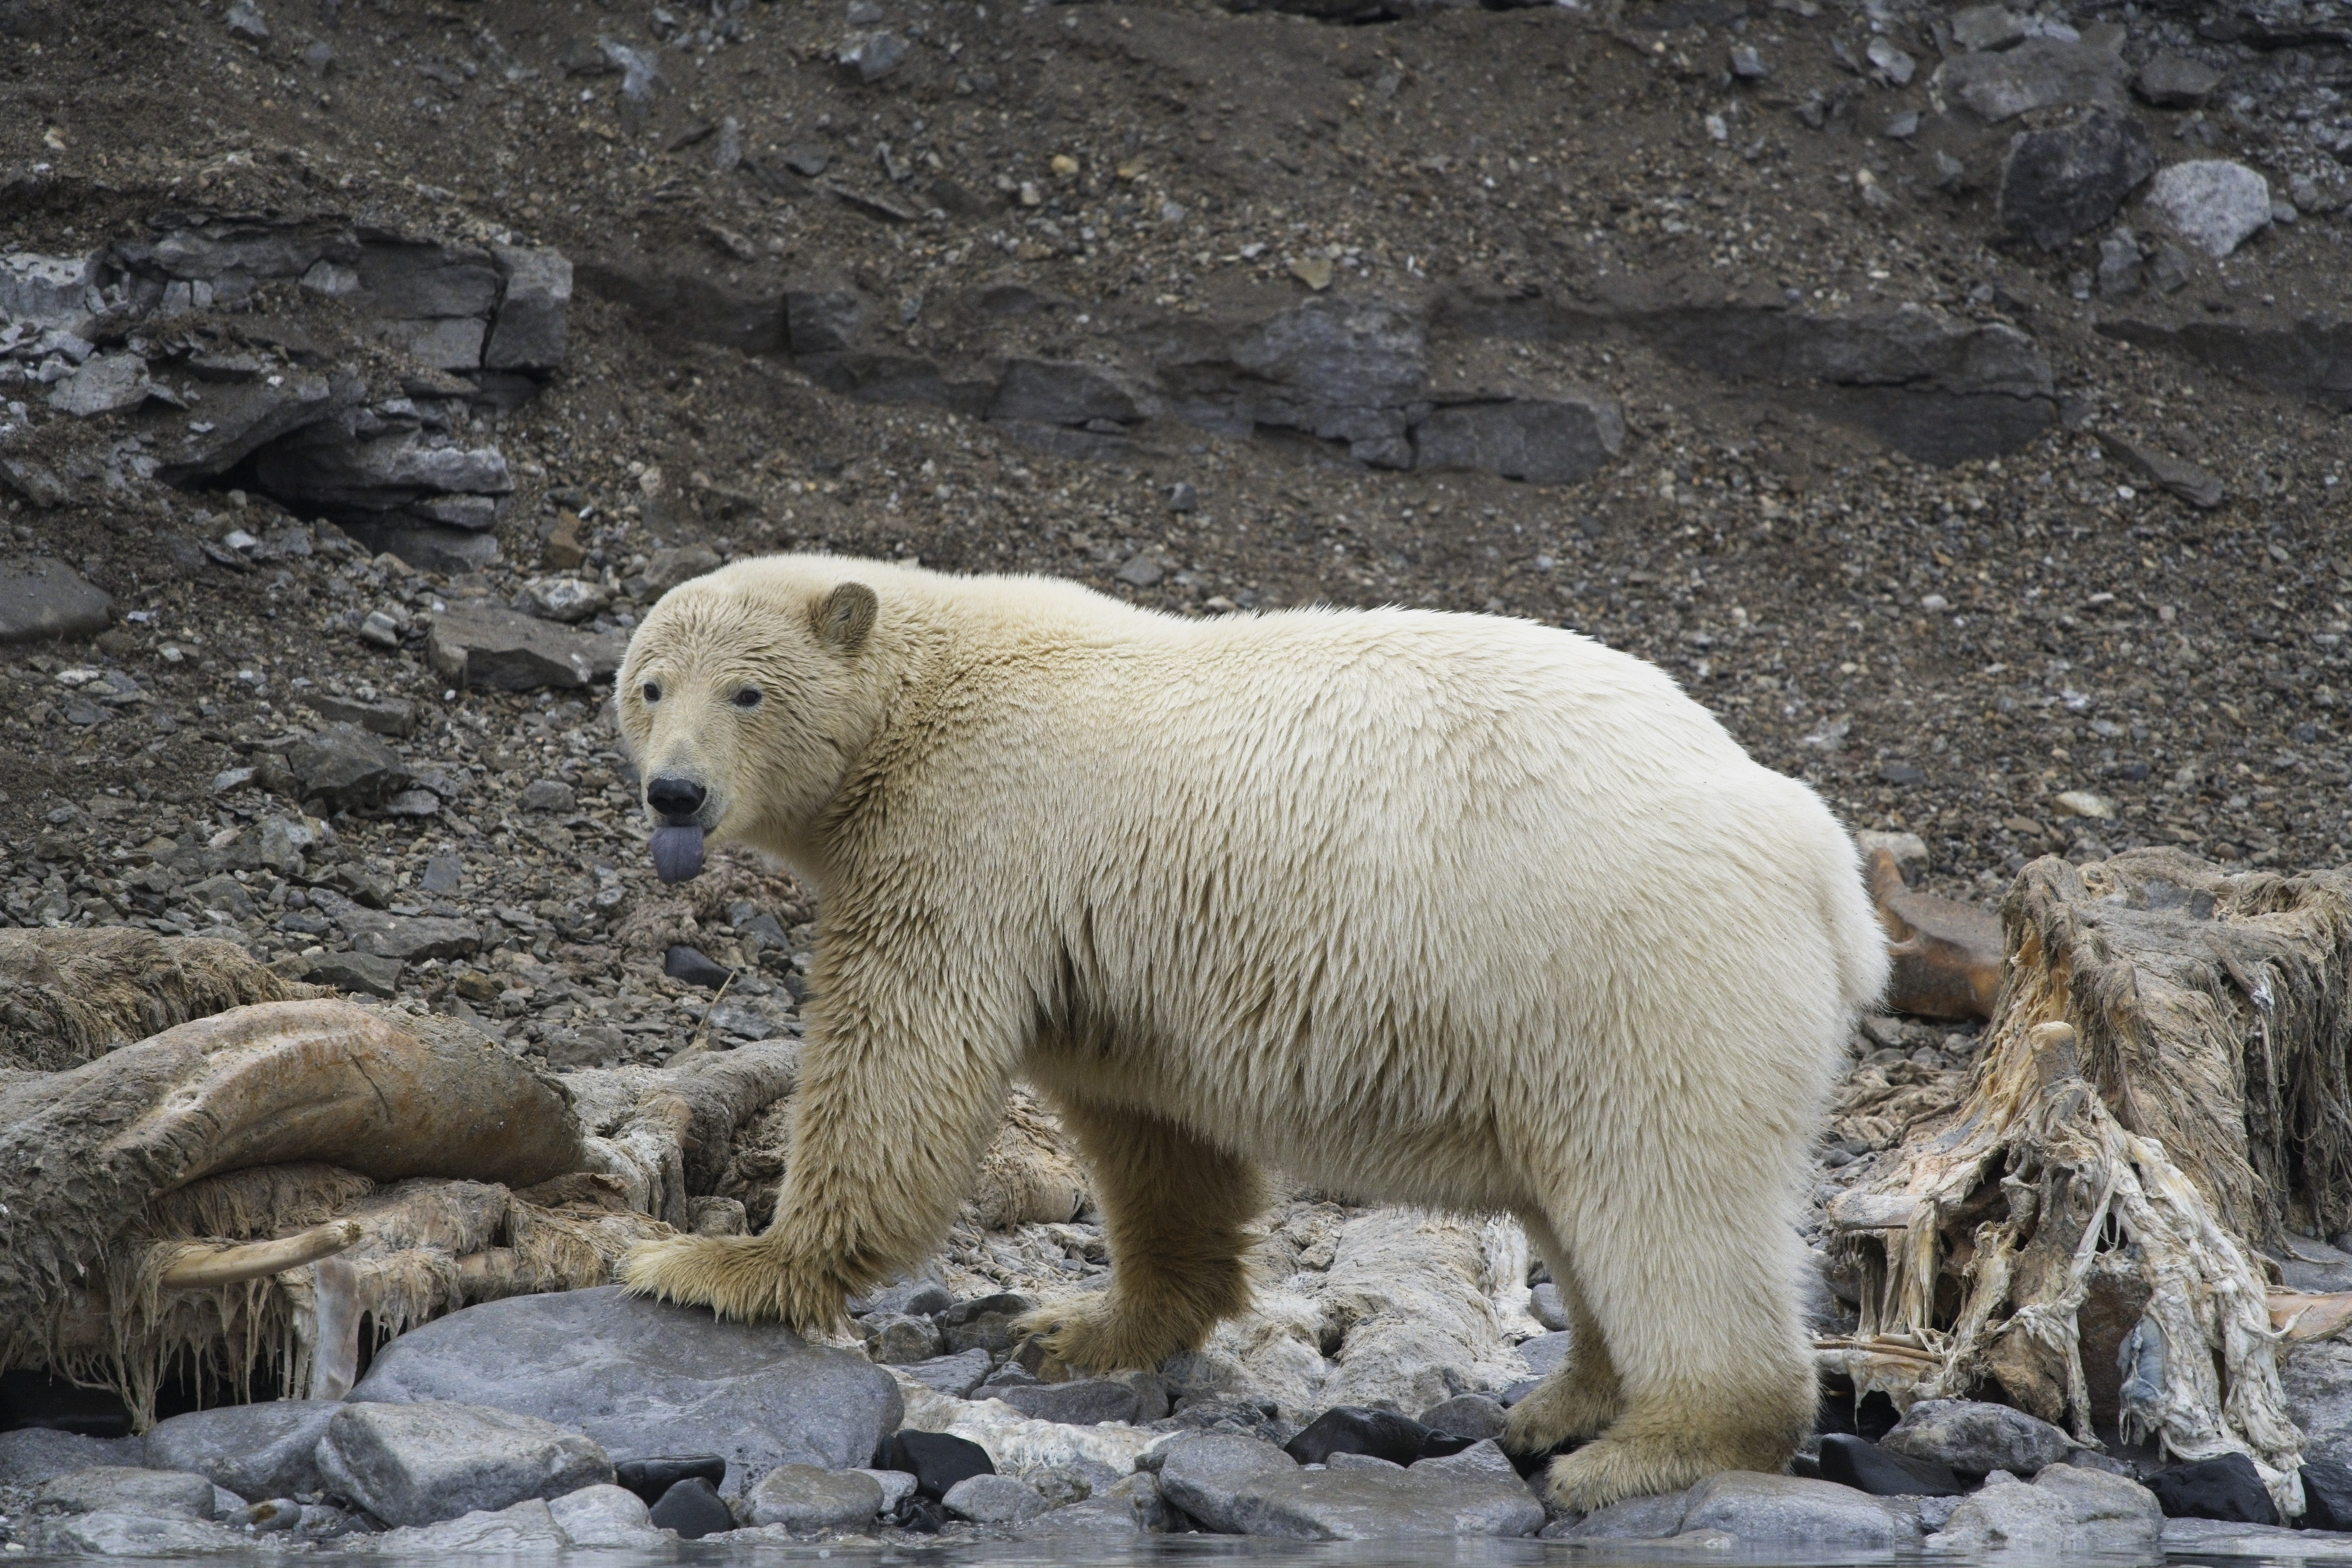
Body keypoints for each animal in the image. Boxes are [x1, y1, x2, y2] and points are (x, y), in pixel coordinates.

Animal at [621, 552, 1891, 1504]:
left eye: (745, 692)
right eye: (648, 685)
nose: (675, 793)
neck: (926, 687)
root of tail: (1827, 869)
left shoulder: (971, 829)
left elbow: (897, 1057)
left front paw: (721, 1264)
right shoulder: (1105, 956)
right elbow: (1145, 1128)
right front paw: (1083, 1329)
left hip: (1633, 970)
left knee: (1665, 1194)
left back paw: (1650, 1447)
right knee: (1583, 1199)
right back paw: (1564, 1403)